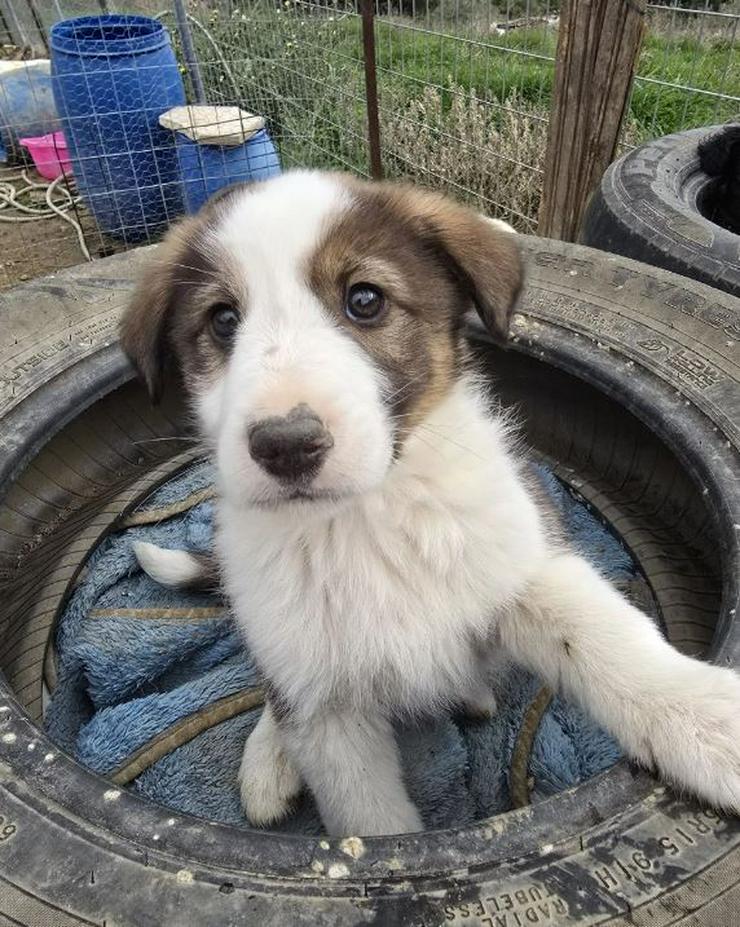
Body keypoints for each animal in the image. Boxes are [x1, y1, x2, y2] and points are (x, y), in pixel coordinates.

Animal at [121, 170, 740, 836]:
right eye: (223, 320)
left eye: (365, 300)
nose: (285, 445)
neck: (365, 518)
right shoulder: (330, 715)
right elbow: (369, 818)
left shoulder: (524, 560)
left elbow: (606, 637)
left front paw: (707, 723)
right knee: (276, 690)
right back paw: (269, 759)